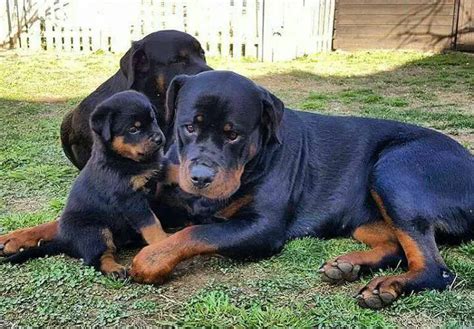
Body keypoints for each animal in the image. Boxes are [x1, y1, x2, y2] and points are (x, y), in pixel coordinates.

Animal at [4, 90, 168, 276]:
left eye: (153, 120)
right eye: (133, 129)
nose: (159, 138)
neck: (123, 159)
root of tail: (65, 241)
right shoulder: (129, 198)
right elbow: (151, 223)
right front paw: (163, 241)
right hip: (95, 230)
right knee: (97, 257)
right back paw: (114, 269)